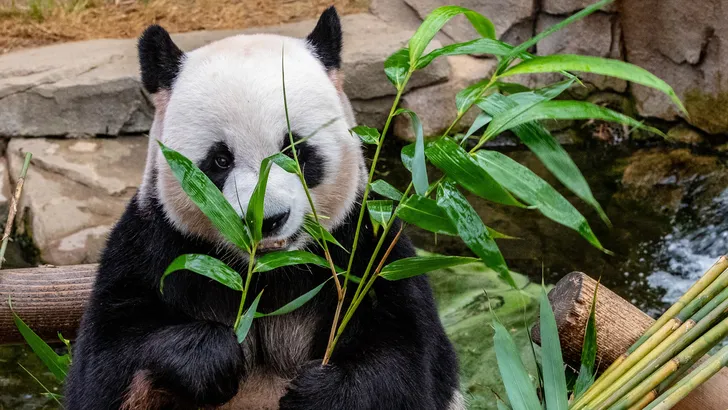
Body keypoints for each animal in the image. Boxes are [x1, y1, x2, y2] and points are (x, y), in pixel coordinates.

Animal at [65, 7, 463, 410]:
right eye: (220, 160)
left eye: (295, 151)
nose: (266, 221)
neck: (268, 273)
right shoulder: (155, 244)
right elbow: (107, 360)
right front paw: (210, 357)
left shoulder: (365, 246)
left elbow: (405, 361)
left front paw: (319, 392)